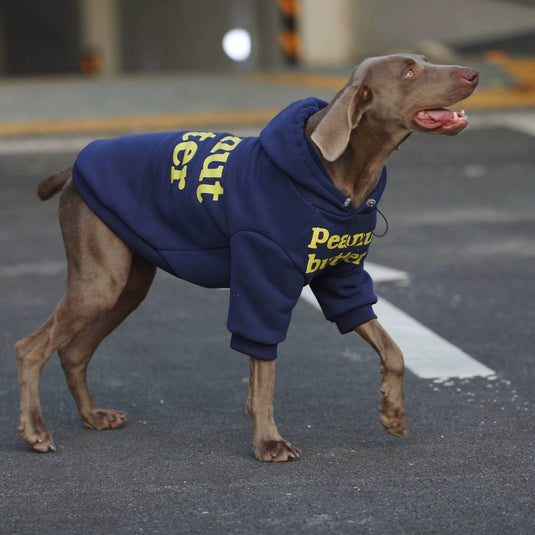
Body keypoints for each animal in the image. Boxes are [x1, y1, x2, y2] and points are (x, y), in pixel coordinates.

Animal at [15, 54, 478, 460]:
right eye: (409, 71)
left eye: (421, 62)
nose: (474, 73)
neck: (337, 178)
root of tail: (72, 170)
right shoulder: (262, 277)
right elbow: (264, 374)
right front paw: (268, 443)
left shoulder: (341, 278)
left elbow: (392, 349)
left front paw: (392, 411)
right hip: (99, 282)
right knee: (29, 348)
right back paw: (36, 431)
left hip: (127, 286)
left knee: (73, 352)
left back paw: (93, 416)